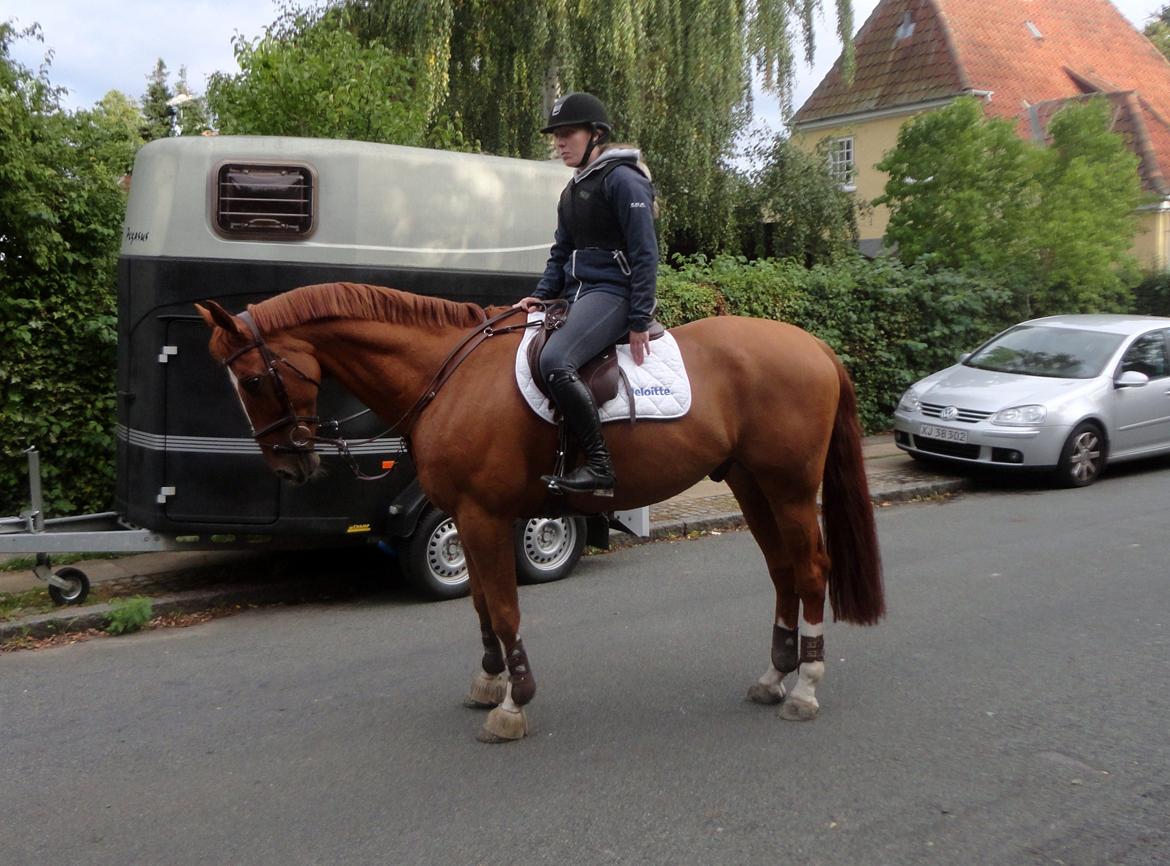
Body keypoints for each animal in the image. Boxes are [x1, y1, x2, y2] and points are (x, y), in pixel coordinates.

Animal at [196, 285, 879, 744]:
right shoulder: (466, 518)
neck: (450, 376)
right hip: (751, 485)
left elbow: (502, 608)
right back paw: (774, 676)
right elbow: (479, 606)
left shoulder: (483, 515)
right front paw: (489, 684)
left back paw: (806, 687)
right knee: (783, 571)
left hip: (790, 489)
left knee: (810, 570)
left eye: (252, 381)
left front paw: (514, 704)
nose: (289, 466)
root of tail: (814, 345)